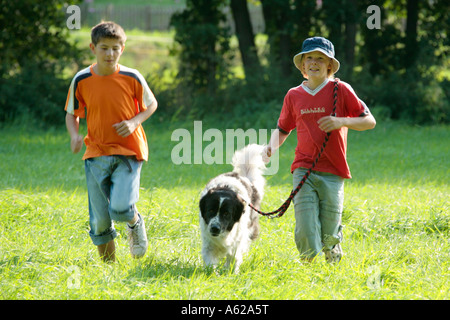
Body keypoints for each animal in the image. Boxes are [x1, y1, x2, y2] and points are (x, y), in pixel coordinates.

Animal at [199, 144, 266, 272]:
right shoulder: (208, 241)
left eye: (226, 214)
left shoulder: (238, 237)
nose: (215, 228)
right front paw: (213, 273)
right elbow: (210, 261)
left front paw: (231, 272)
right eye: (211, 210)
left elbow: (233, 257)